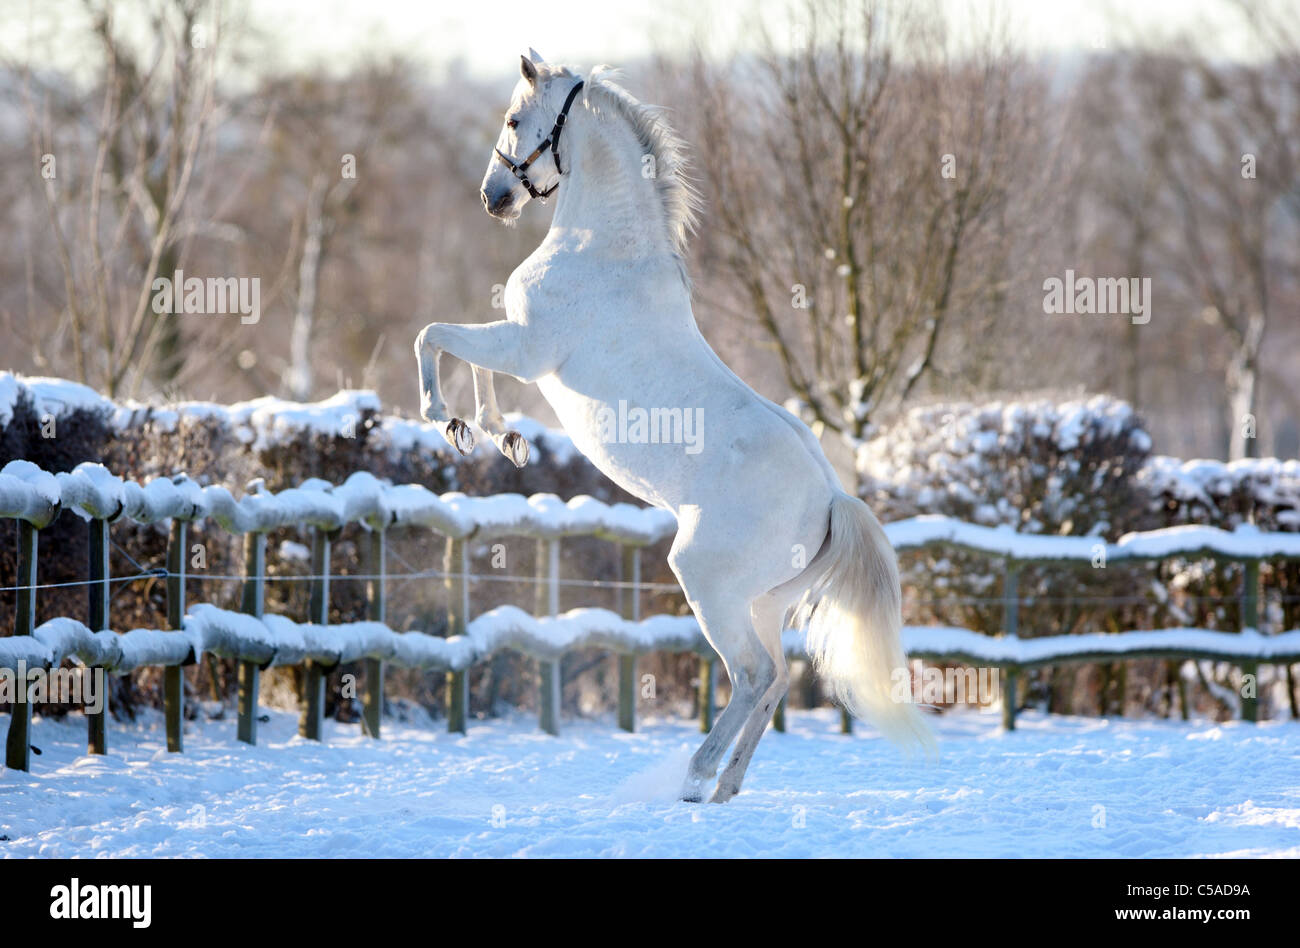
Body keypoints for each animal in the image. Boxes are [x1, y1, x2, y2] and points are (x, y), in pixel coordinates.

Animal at [410, 50, 930, 801]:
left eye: (512, 119)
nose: (492, 198)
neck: (603, 248)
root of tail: (831, 500)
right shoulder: (521, 348)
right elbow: (471, 361)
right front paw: (493, 433)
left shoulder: (528, 349)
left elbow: (437, 337)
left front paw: (440, 416)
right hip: (763, 602)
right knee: (776, 679)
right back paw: (726, 788)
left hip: (707, 583)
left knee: (752, 675)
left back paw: (694, 777)